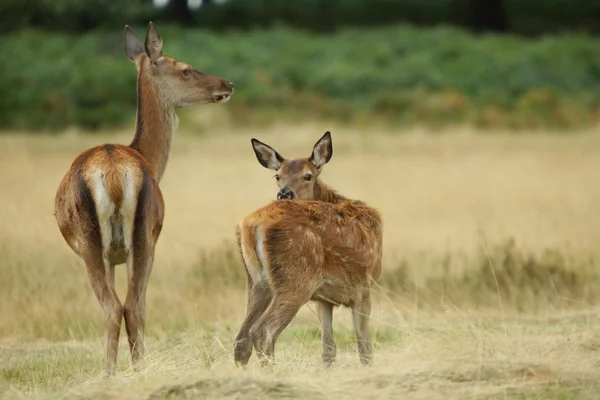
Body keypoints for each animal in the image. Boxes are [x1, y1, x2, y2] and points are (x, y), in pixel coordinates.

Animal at [54, 23, 232, 376]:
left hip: (112, 240)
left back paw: (119, 373)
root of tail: (112, 174)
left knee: (120, 307)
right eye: (186, 68)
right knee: (128, 307)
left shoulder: (115, 254)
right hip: (140, 238)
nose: (227, 84)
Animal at [232, 133, 382, 368]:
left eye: (308, 176)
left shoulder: (322, 298)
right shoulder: (363, 286)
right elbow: (365, 348)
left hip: (257, 282)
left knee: (241, 339)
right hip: (297, 278)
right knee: (263, 331)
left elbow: (328, 349)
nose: (284, 193)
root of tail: (252, 224)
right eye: (277, 175)